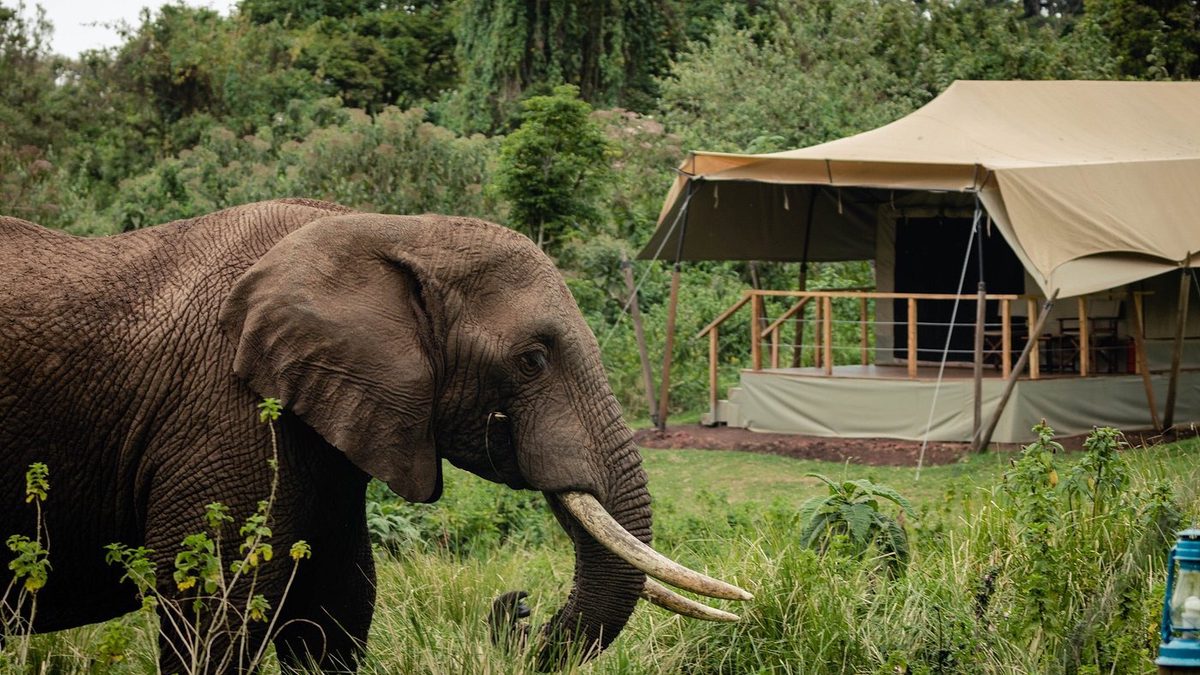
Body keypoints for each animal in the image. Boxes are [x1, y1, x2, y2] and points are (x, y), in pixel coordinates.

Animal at [0, 199, 749, 672]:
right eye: (532, 360)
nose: (516, 605)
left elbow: (335, 604)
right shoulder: (224, 406)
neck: (386, 230)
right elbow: (216, 608)